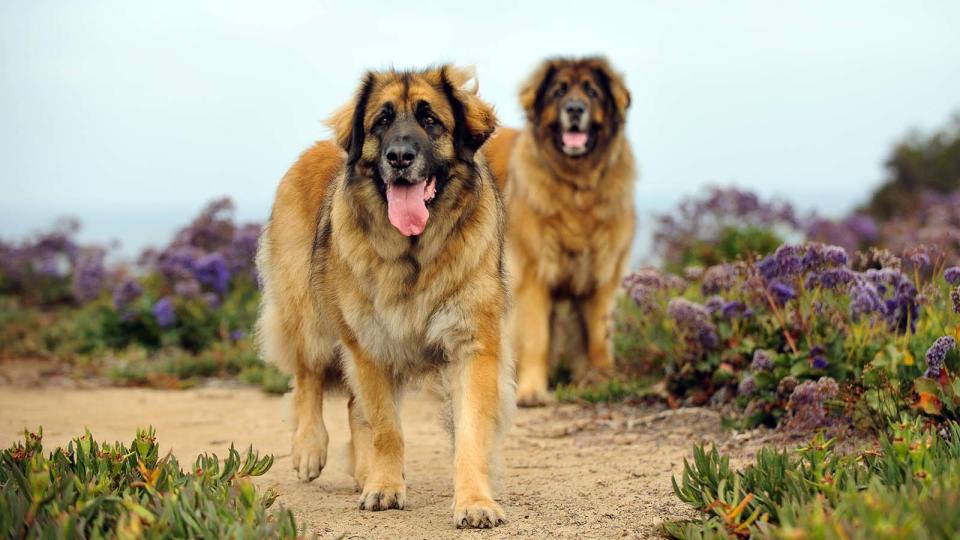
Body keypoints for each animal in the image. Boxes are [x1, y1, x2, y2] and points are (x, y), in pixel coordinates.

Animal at [251, 64, 512, 528]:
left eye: (430, 120)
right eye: (381, 122)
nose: (400, 157)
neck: (414, 253)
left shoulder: (473, 347)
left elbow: (469, 431)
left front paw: (475, 501)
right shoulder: (369, 344)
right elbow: (386, 427)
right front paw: (386, 487)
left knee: (354, 408)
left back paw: (361, 470)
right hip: (310, 316)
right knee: (308, 376)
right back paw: (310, 448)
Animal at [488, 57, 636, 408]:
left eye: (593, 92)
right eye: (558, 91)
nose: (574, 109)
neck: (576, 190)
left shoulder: (602, 276)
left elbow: (598, 338)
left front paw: (602, 382)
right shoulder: (532, 275)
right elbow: (537, 338)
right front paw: (532, 390)